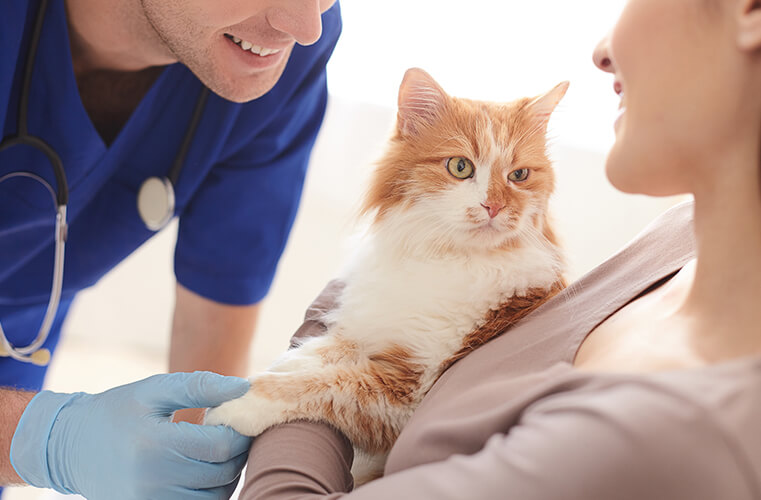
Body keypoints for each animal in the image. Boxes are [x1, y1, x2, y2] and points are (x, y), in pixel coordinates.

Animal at [205, 67, 568, 484]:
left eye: (519, 175)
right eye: (460, 167)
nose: (493, 206)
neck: (445, 258)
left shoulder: (407, 394)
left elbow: (319, 385)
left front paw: (237, 401)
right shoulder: (374, 325)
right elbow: (326, 351)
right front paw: (282, 364)